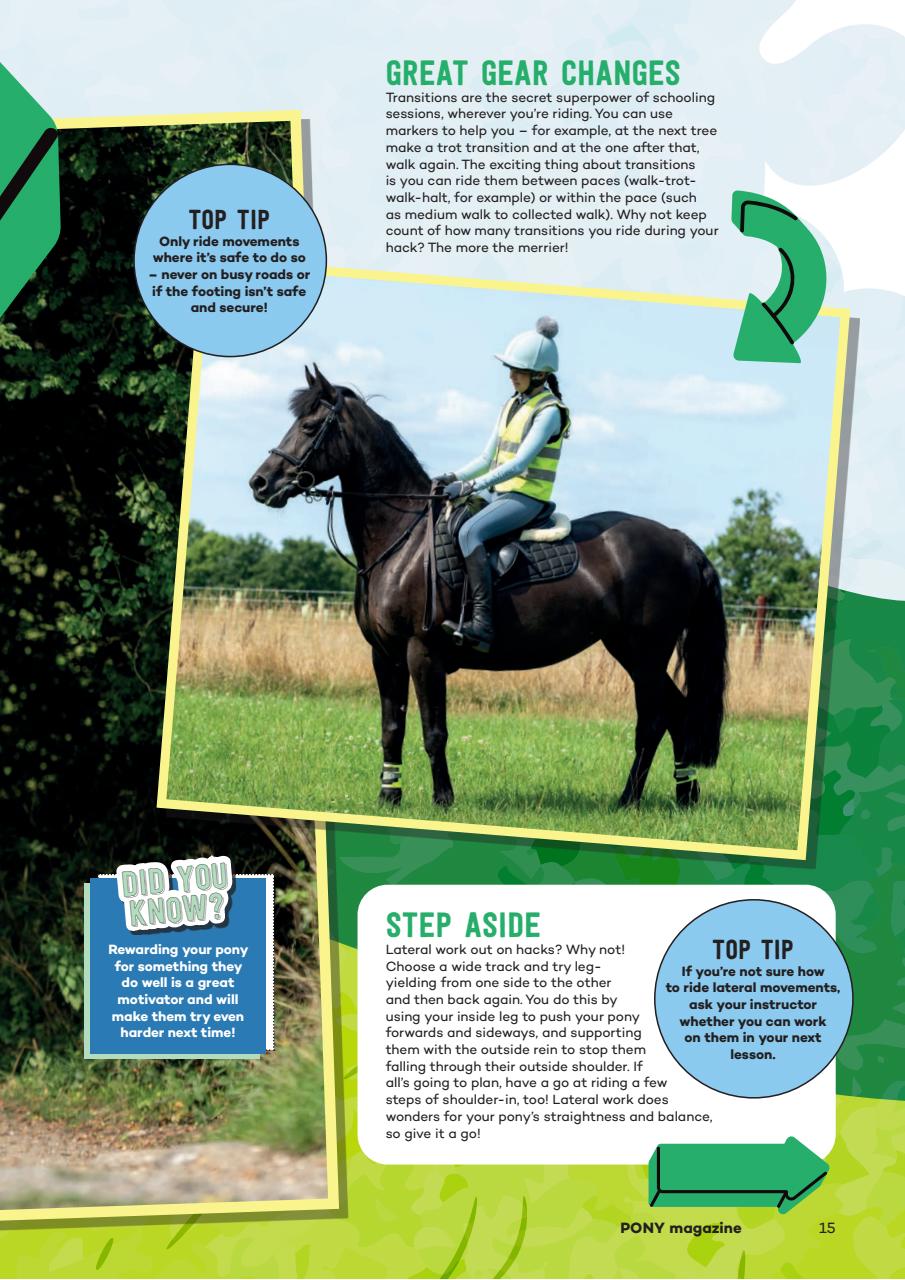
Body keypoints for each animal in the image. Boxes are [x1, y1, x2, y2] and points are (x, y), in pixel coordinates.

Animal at [249, 365, 728, 813]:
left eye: (309, 426)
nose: (261, 483)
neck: (403, 539)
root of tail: (681, 542)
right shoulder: (385, 655)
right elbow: (391, 728)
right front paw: (389, 797)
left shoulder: (422, 653)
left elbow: (433, 731)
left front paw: (443, 799)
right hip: (633, 652)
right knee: (678, 711)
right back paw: (685, 794)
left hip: (644, 653)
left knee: (654, 719)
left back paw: (629, 800)